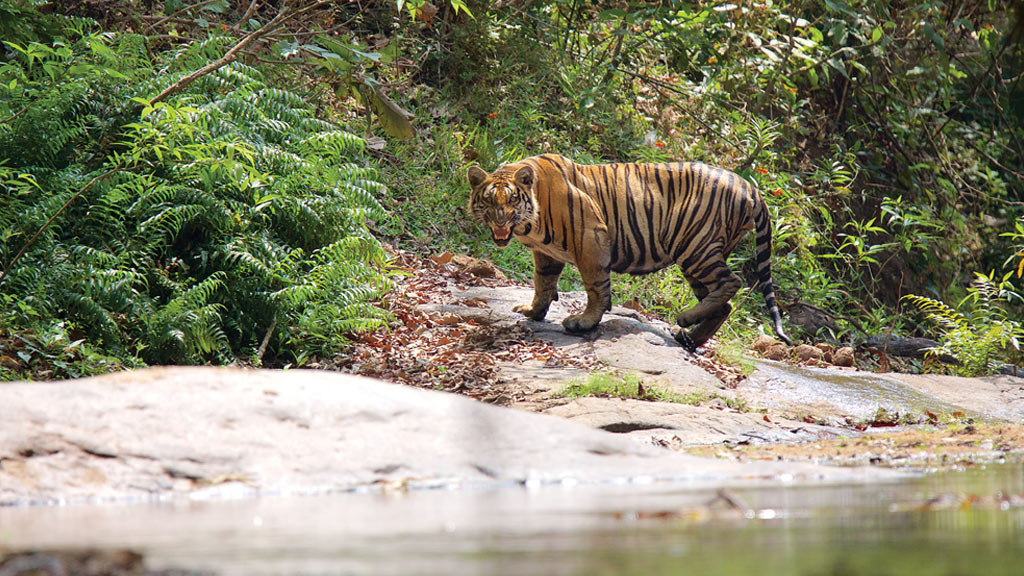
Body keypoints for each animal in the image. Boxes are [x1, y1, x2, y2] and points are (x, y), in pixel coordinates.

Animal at [468, 152, 794, 350]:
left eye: (512, 200)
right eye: (489, 200)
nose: (500, 221)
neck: (530, 224)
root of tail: (750, 187)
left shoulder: (591, 237)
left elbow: (595, 287)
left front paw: (584, 321)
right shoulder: (546, 254)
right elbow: (543, 283)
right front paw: (533, 312)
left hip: (695, 247)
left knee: (732, 282)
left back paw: (684, 319)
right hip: (699, 256)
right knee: (723, 304)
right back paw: (689, 336)